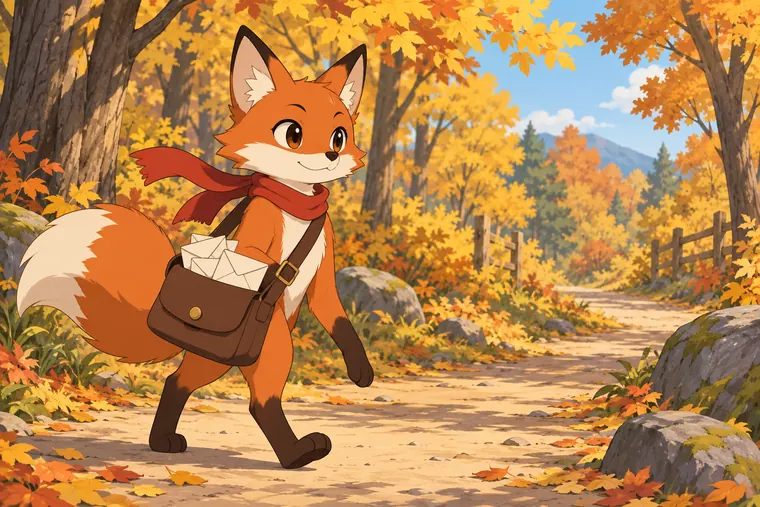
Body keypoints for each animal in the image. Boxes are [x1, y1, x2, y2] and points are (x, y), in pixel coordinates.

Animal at [16, 26, 374, 470]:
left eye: (339, 136)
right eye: (293, 133)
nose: (329, 154)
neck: (296, 207)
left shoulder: (322, 275)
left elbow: (338, 320)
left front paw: (361, 370)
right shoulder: (260, 243)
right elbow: (259, 262)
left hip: (215, 360)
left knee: (178, 381)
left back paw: (163, 441)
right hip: (272, 345)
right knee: (258, 402)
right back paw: (297, 454)